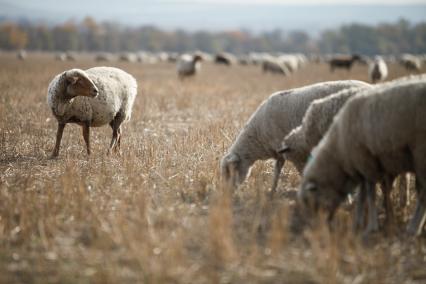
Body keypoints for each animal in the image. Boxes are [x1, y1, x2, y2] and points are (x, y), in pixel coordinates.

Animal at [221, 79, 372, 193]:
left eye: (230, 171)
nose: (227, 194)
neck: (257, 136)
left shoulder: (294, 151)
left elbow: (301, 171)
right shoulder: (280, 151)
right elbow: (277, 170)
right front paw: (272, 190)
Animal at [298, 79, 426, 236]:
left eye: (312, 202)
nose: (316, 227)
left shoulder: (366, 162)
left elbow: (370, 194)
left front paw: (371, 226)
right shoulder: (362, 166)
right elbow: (364, 195)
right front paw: (359, 222)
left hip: (420, 153)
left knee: (422, 193)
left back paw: (413, 227)